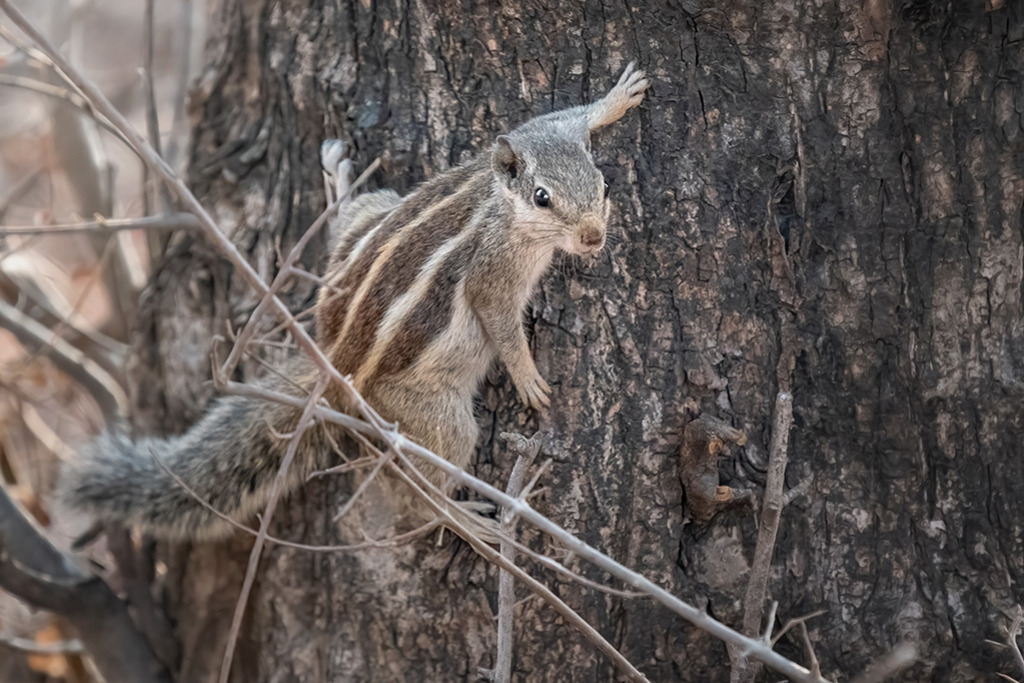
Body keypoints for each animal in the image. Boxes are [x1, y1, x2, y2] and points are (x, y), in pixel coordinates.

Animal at [58, 62, 649, 541]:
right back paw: (462, 519)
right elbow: (499, 320)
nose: (593, 238)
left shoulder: (537, 134)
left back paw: (338, 185)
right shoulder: (495, 272)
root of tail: (334, 364)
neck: (501, 203)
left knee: (351, 218)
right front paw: (527, 377)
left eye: (602, 183)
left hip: (373, 213)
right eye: (542, 198)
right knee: (425, 487)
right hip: (427, 416)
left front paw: (615, 98)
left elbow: (558, 117)